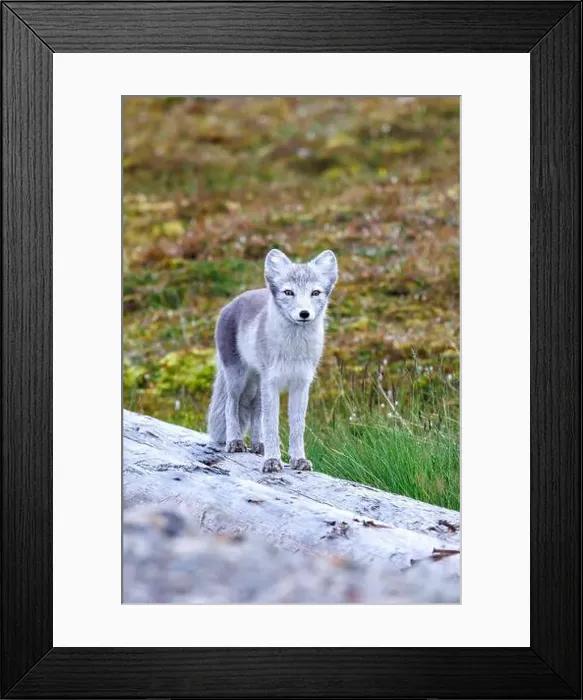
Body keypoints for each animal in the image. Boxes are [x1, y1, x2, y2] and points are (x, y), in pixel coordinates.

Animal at [207, 248, 338, 473]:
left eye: (315, 293)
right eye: (288, 293)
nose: (304, 313)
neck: (293, 350)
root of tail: (231, 304)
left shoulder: (301, 385)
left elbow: (297, 427)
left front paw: (298, 460)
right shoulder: (272, 383)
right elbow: (272, 425)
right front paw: (272, 461)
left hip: (258, 383)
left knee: (255, 410)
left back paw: (258, 445)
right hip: (238, 378)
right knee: (230, 406)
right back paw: (235, 442)